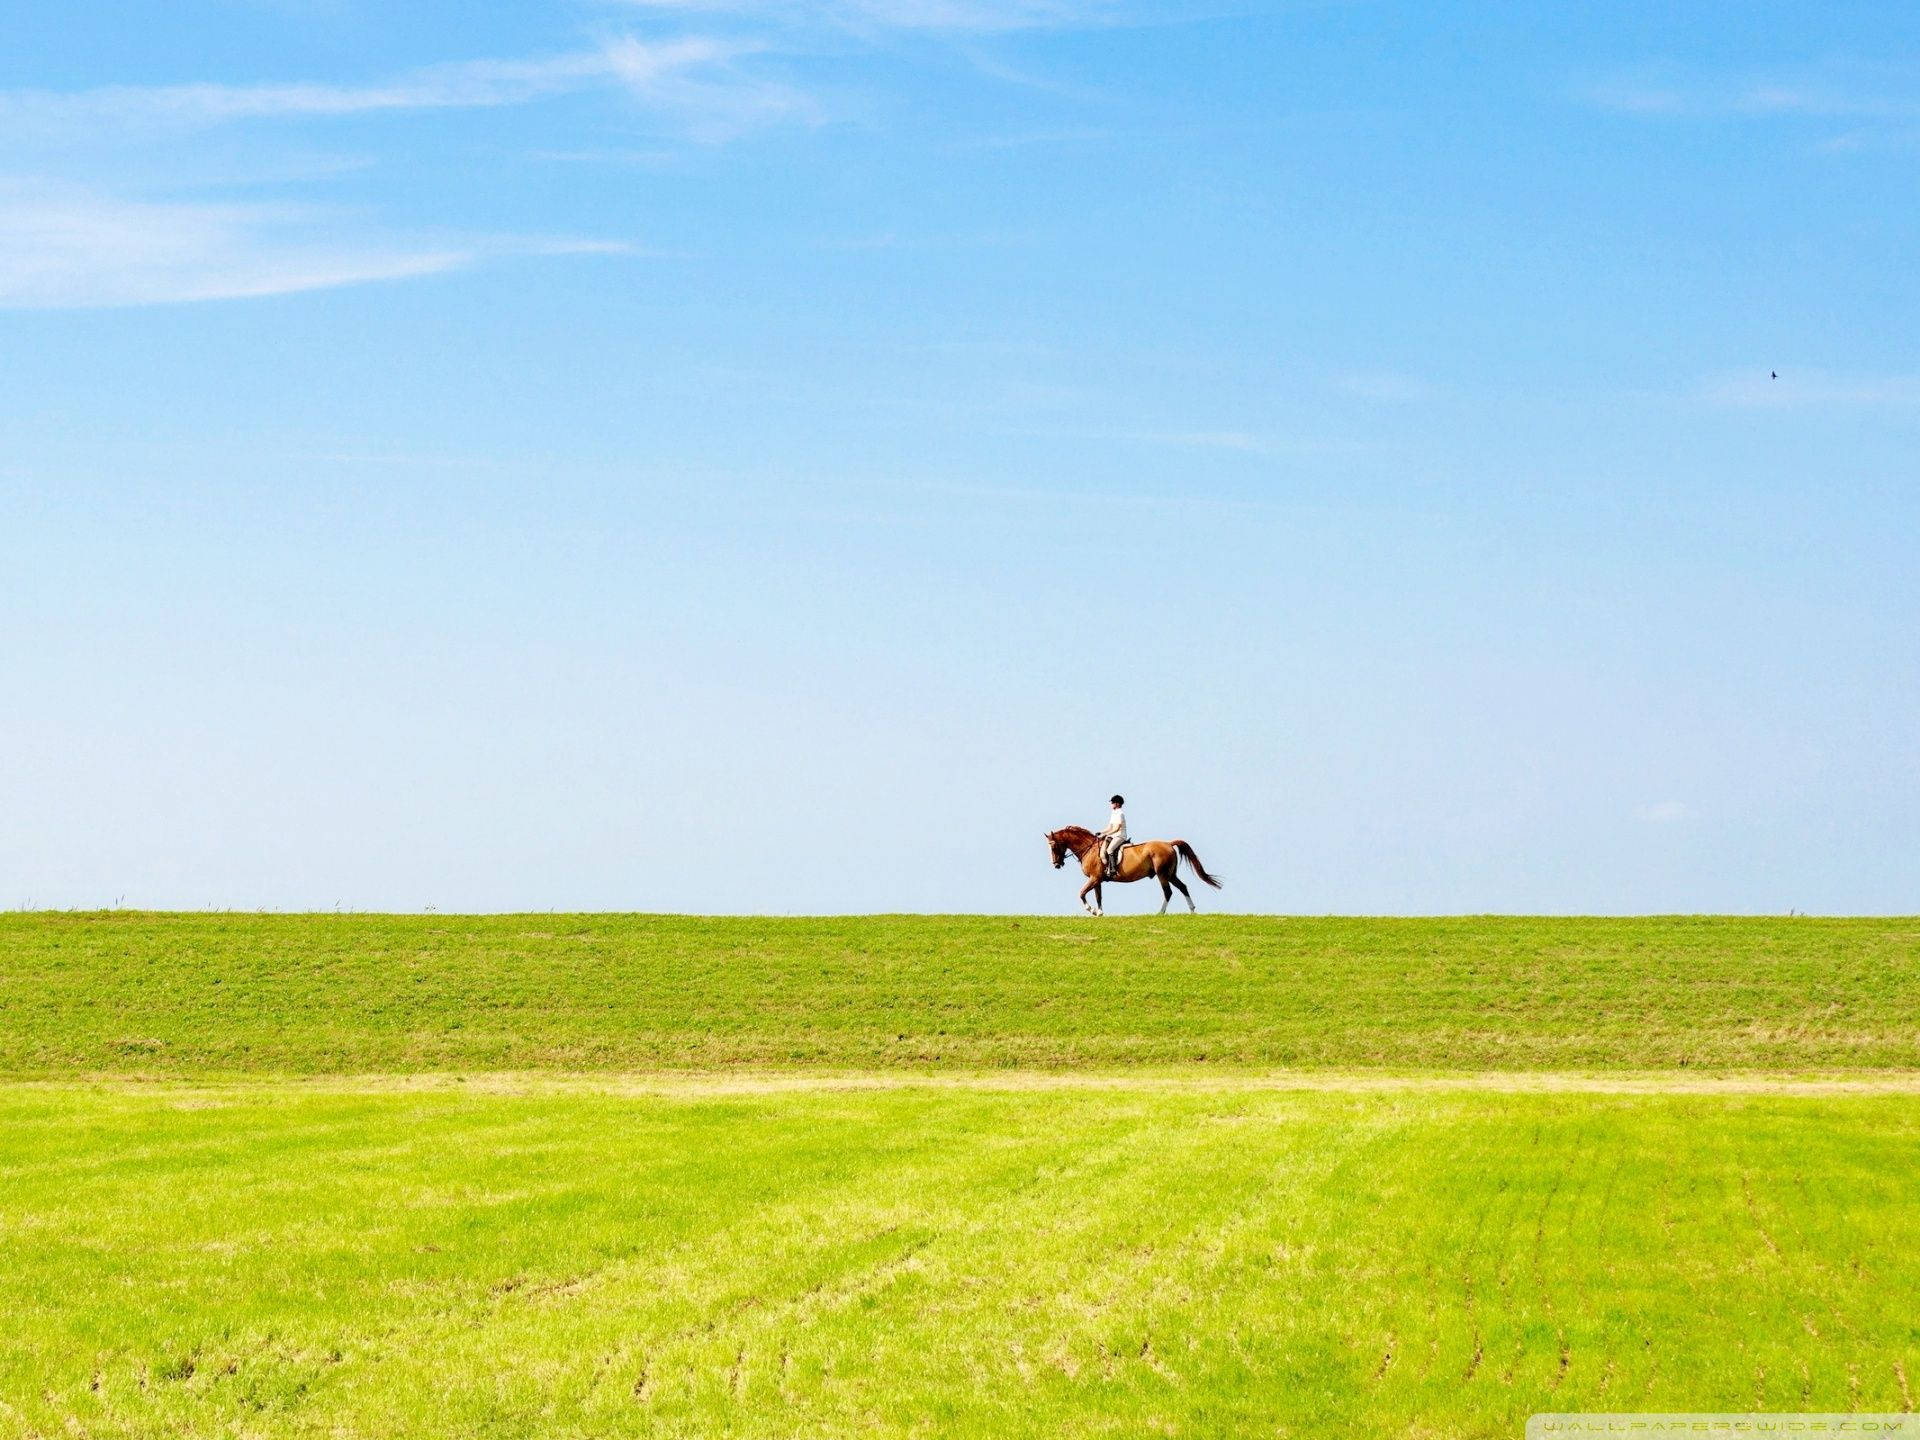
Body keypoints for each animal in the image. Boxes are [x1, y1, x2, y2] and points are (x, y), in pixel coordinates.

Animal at [1044, 825, 1222, 916]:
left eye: (1053, 846)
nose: (1056, 864)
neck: (1089, 848)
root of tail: (1168, 843)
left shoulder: (1094, 878)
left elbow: (1081, 893)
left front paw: (1092, 911)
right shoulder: (1097, 880)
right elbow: (1098, 896)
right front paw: (1100, 912)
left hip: (1162, 874)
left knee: (1168, 892)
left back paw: (1160, 913)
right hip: (1171, 874)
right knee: (1183, 887)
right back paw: (1192, 910)